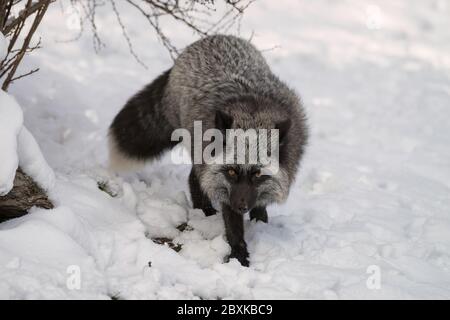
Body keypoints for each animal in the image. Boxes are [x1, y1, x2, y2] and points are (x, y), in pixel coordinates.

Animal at [109, 35, 308, 266]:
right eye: (231, 171)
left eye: (258, 174)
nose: (241, 206)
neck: (253, 112)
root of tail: (209, 39)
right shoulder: (225, 188)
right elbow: (233, 228)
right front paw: (239, 258)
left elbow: (261, 203)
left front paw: (260, 222)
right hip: (198, 151)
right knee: (194, 178)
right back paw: (204, 212)